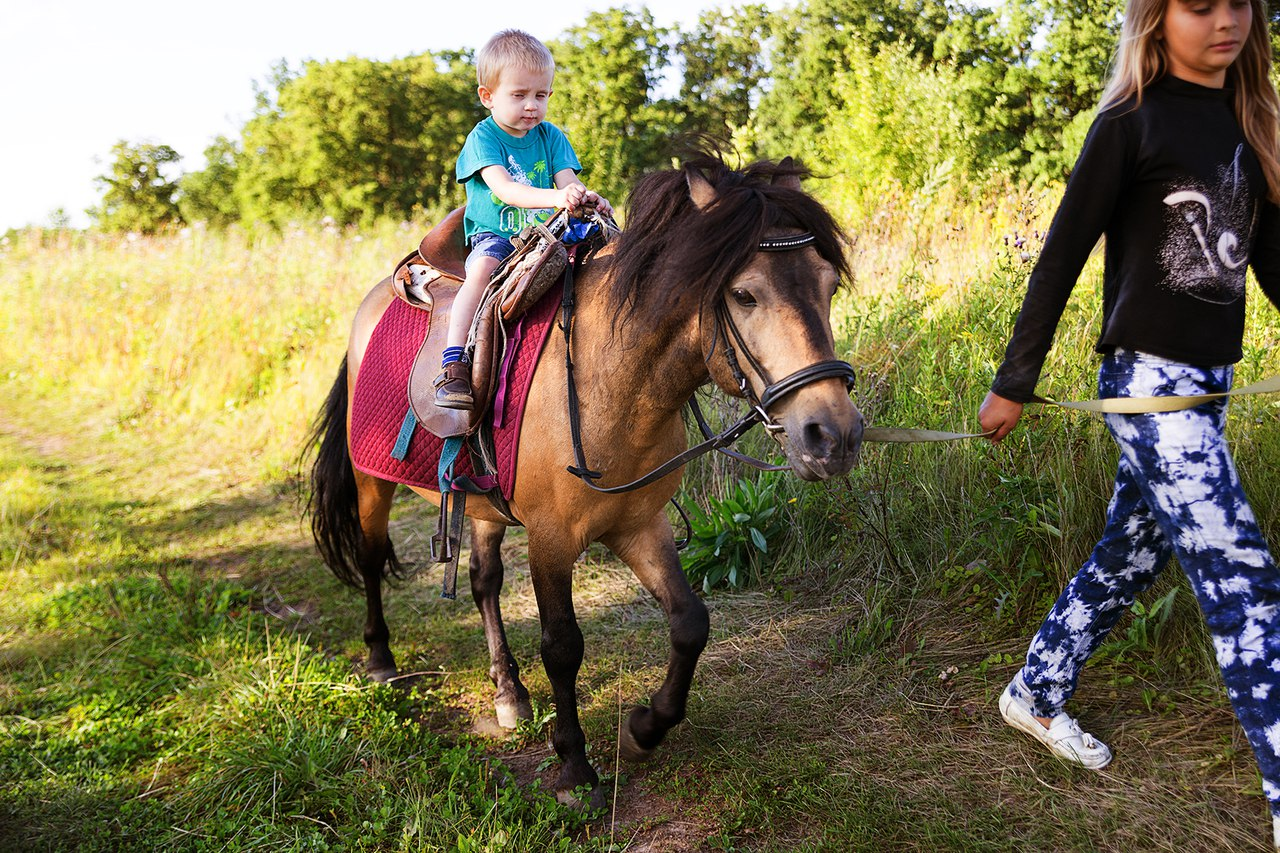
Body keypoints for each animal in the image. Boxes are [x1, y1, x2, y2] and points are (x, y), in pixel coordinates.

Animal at [305, 151, 865, 804]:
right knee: (372, 559)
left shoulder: (639, 524)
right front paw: (574, 764)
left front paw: (645, 729)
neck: (610, 378)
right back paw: (381, 661)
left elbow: (690, 622)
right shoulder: (551, 539)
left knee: (484, 582)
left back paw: (509, 693)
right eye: (745, 294)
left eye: (828, 286)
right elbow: (562, 646)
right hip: (374, 482)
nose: (834, 435)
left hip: (483, 501)